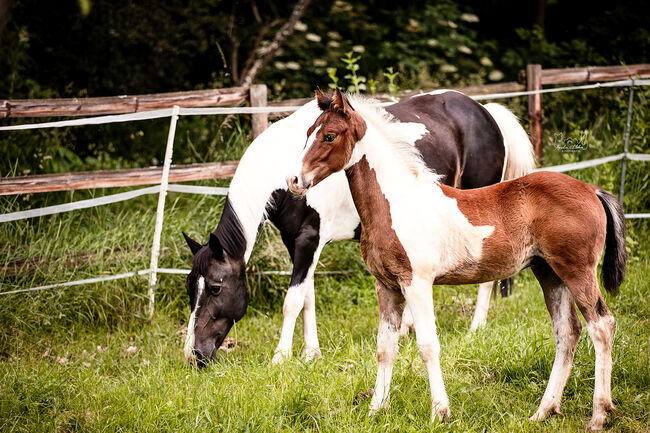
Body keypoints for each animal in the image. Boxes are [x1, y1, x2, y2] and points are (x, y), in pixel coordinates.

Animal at [181, 90, 532, 364]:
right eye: (189, 288)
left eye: (215, 287)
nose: (194, 355)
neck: (278, 171)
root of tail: (487, 112)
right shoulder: (297, 242)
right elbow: (307, 296)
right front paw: (311, 353)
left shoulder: (309, 239)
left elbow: (292, 300)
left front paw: (281, 357)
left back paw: (476, 328)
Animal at [286, 89, 624, 430]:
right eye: (307, 132)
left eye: (329, 135)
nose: (295, 180)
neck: (398, 202)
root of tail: (592, 190)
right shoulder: (387, 286)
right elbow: (385, 347)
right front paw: (376, 409)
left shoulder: (417, 284)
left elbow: (427, 345)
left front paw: (440, 411)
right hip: (551, 273)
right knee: (567, 333)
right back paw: (544, 410)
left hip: (577, 271)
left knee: (601, 324)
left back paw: (598, 414)